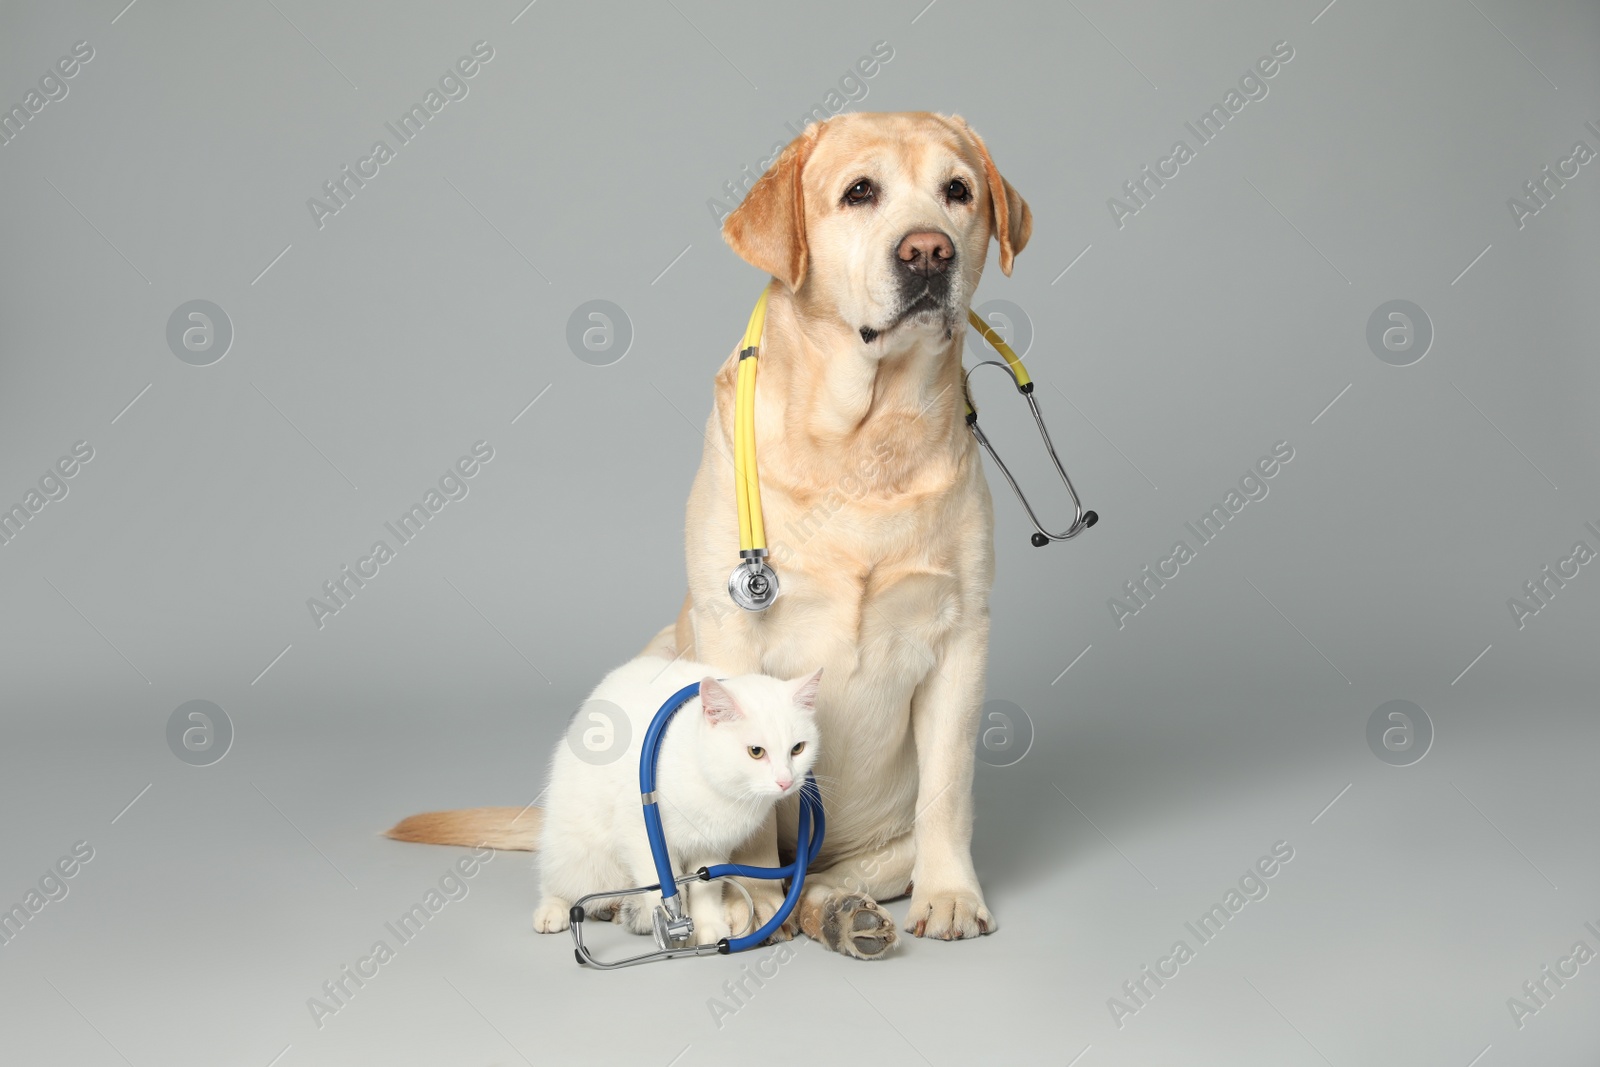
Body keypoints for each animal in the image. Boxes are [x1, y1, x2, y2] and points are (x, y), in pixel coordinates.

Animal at [531, 655, 819, 947]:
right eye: (756, 752)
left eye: (797, 749)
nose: (785, 781)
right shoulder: (643, 837)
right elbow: (665, 887)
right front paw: (679, 936)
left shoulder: (712, 846)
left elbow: (706, 889)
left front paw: (708, 927)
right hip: (579, 853)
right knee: (557, 882)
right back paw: (553, 911)